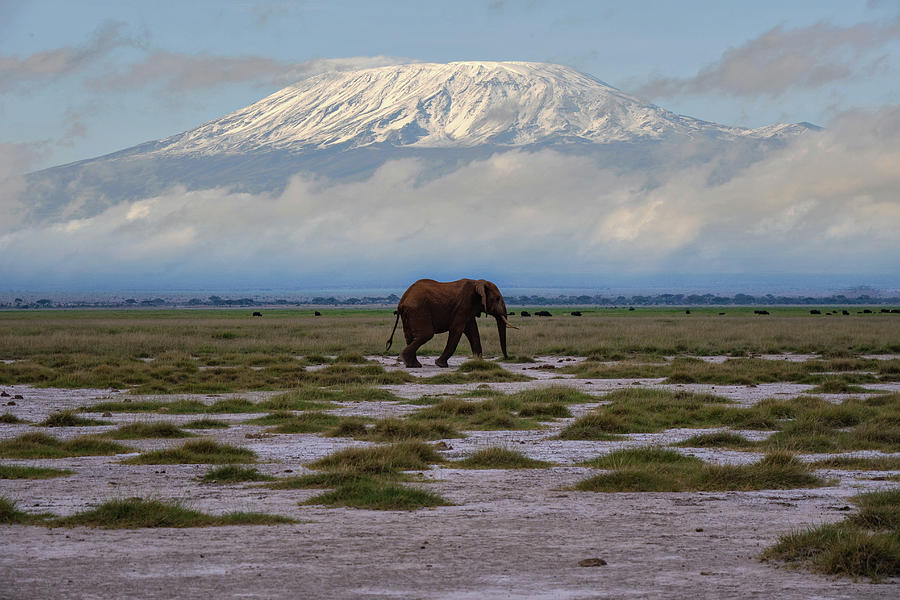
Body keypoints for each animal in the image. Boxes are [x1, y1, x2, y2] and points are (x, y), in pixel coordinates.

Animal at [384, 278, 516, 368]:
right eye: (498, 298)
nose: (507, 358)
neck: (478, 282)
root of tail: (402, 300)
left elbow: (473, 331)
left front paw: (479, 362)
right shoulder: (463, 306)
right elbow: (457, 330)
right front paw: (440, 364)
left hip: (409, 314)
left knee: (410, 336)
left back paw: (413, 365)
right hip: (419, 310)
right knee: (426, 334)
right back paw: (407, 360)